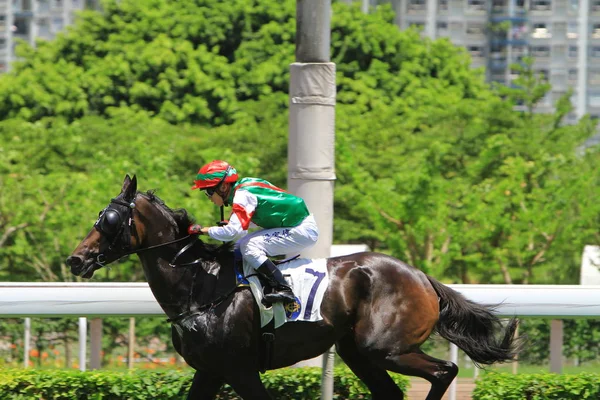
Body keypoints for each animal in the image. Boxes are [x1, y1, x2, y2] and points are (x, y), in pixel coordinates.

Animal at [65, 177, 520, 400]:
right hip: (358, 352)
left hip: (385, 348)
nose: (76, 259)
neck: (199, 284)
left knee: (445, 371)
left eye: (108, 219)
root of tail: (422, 277)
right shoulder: (210, 370)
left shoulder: (239, 368)